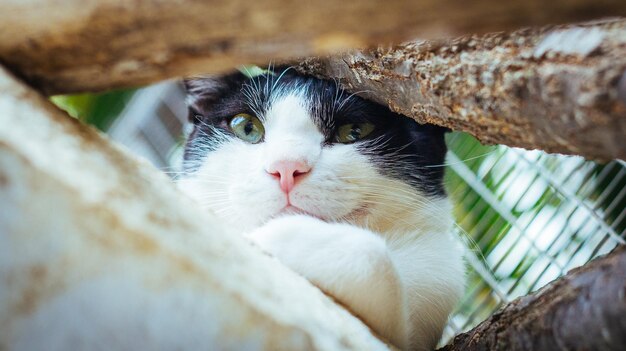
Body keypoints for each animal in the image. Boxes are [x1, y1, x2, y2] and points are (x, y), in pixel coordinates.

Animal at [176, 67, 464, 350]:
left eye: (354, 131)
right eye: (246, 127)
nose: (286, 167)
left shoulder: (437, 276)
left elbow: (372, 255)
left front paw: (268, 235)